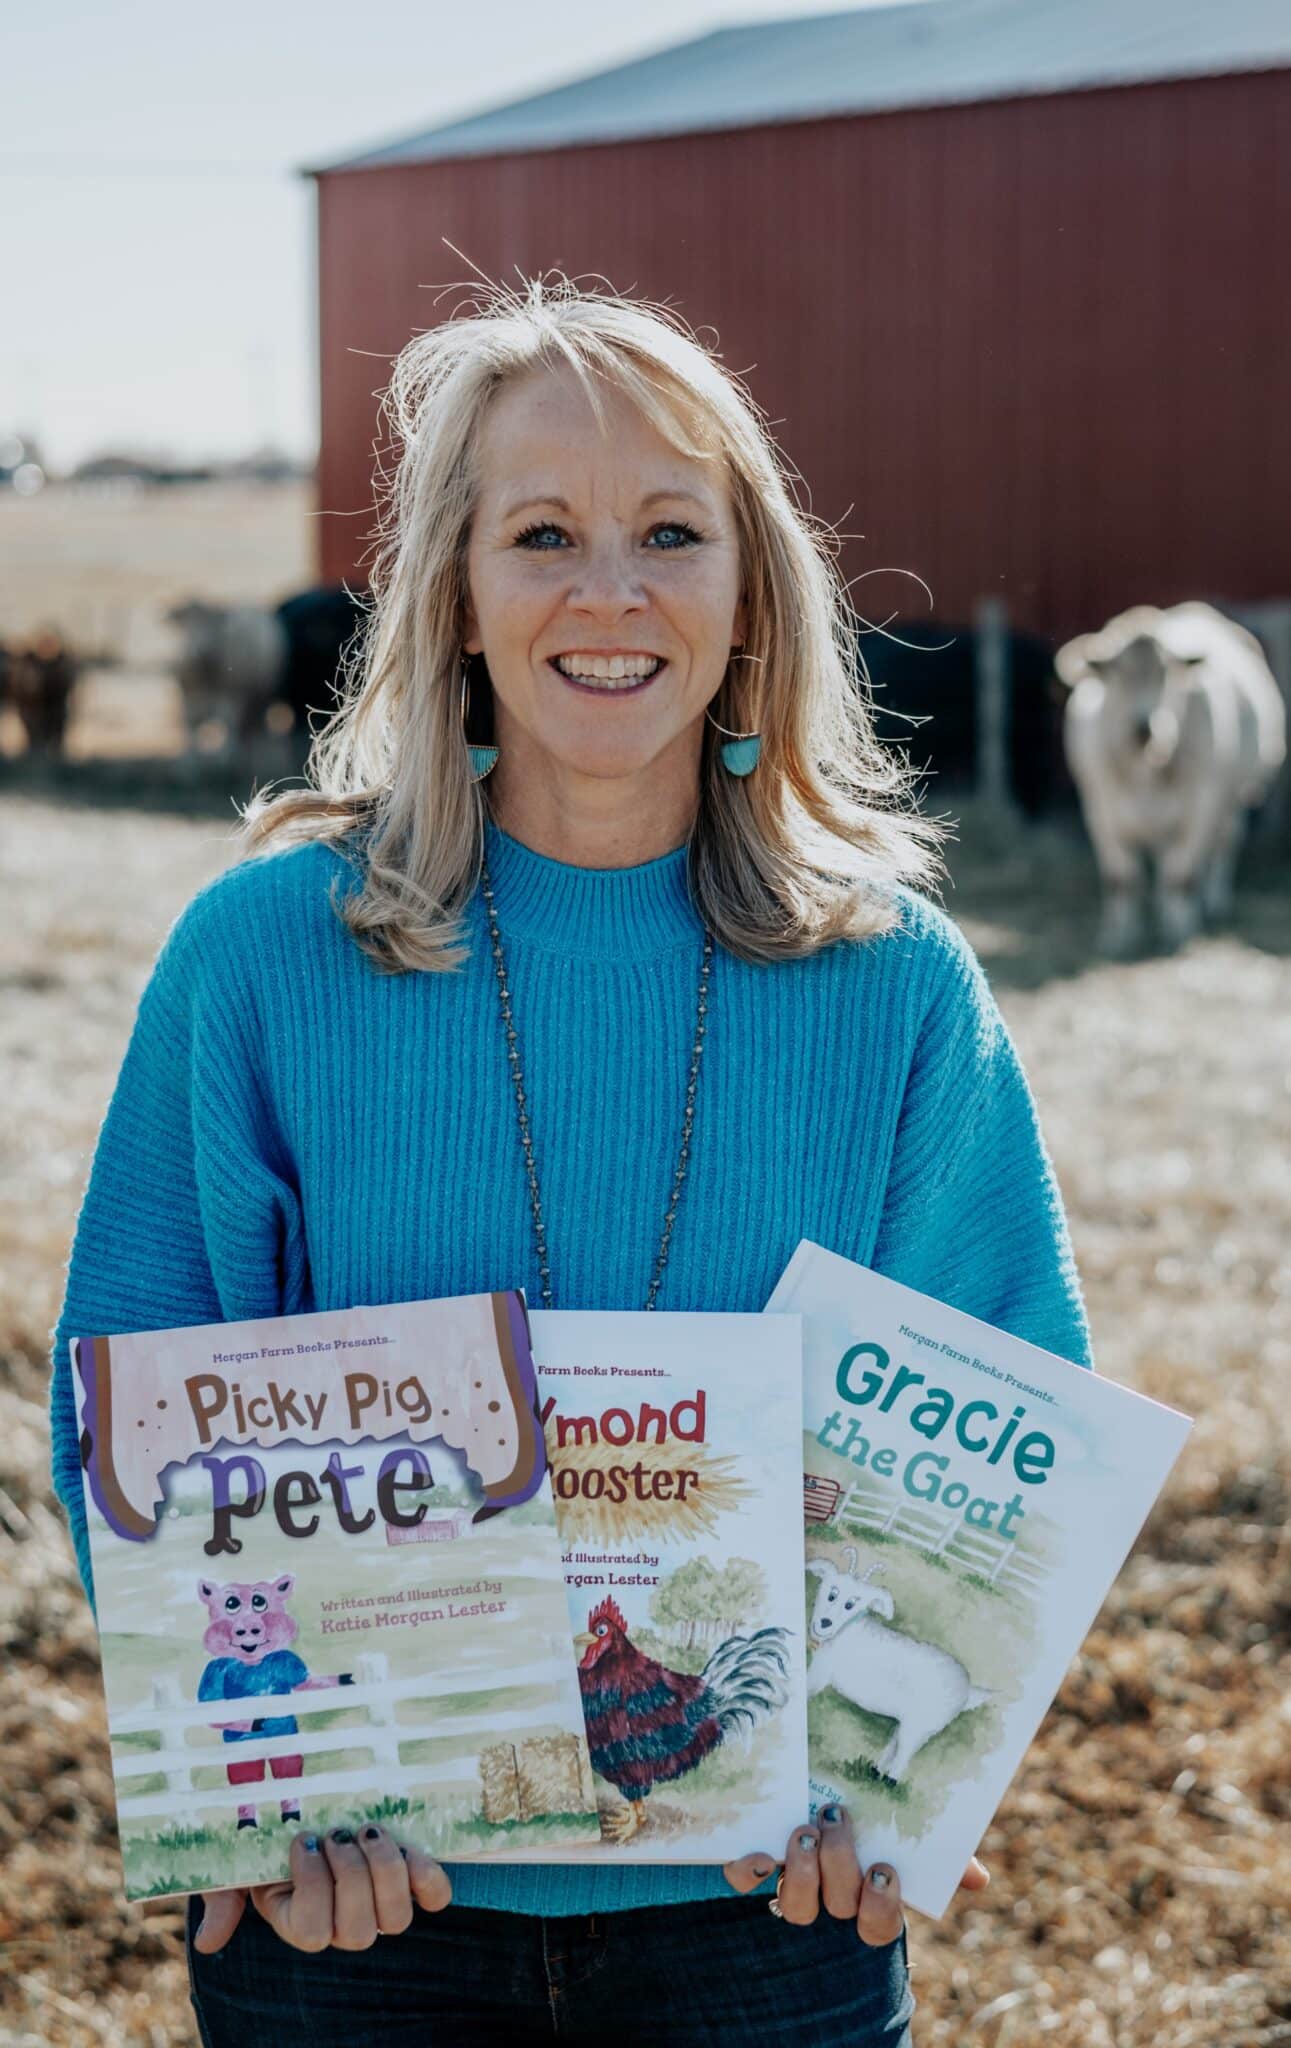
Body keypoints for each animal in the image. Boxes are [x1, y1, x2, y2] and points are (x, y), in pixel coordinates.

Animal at [167, 598, 288, 761]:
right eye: (183, 624)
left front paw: (225, 753)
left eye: (210, 623)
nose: (196, 649)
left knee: (252, 720)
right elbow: (191, 727)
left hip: (260, 693)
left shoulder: (230, 697)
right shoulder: (189, 700)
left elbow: (228, 721)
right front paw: (190, 755)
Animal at [1057, 602, 1286, 954]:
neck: (1146, 765)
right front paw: (1118, 936)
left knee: (1224, 844)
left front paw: (1179, 930)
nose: (1143, 726)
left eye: (1166, 673)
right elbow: (1121, 879)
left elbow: (1182, 875)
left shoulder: (1202, 804)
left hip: (1235, 796)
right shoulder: (1100, 810)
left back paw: (1212, 903)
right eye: (1115, 674)